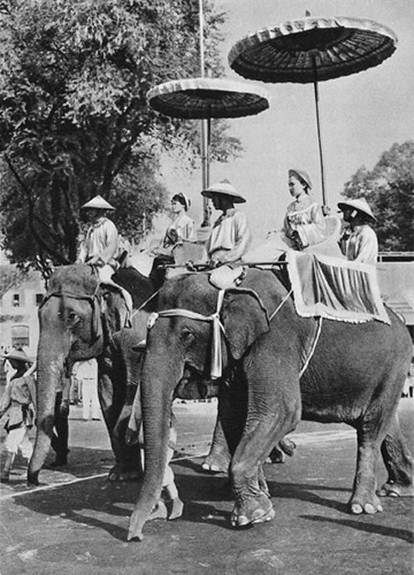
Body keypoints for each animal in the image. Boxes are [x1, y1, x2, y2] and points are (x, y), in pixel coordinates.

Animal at [27, 264, 157, 486]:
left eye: (72, 316)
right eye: (39, 315)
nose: (36, 481)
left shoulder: (137, 338)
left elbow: (132, 388)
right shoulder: (108, 349)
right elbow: (107, 393)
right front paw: (121, 475)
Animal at [128, 268, 412, 544]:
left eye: (186, 335)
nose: (135, 536)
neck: (229, 286)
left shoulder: (274, 341)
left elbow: (283, 411)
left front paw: (252, 516)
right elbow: (235, 415)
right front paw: (261, 494)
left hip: (395, 366)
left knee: (371, 428)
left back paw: (362, 507)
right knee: (386, 423)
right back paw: (397, 489)